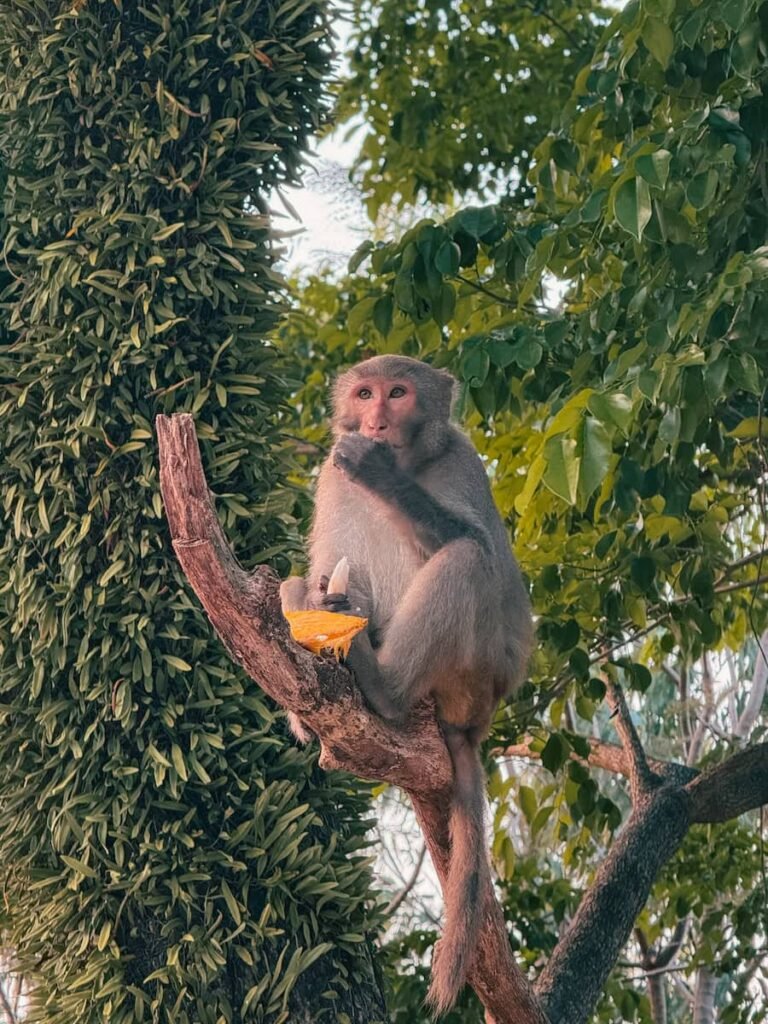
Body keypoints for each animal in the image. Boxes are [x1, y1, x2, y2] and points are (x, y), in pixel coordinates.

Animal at [280, 354, 533, 1014]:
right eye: (365, 393)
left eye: (397, 394)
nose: (374, 420)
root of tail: (474, 722)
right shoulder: (330, 481)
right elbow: (330, 569)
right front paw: (322, 602)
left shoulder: (463, 462)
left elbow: (481, 546)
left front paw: (381, 473)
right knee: (302, 583)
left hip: (472, 672)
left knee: (468, 559)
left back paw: (384, 687)